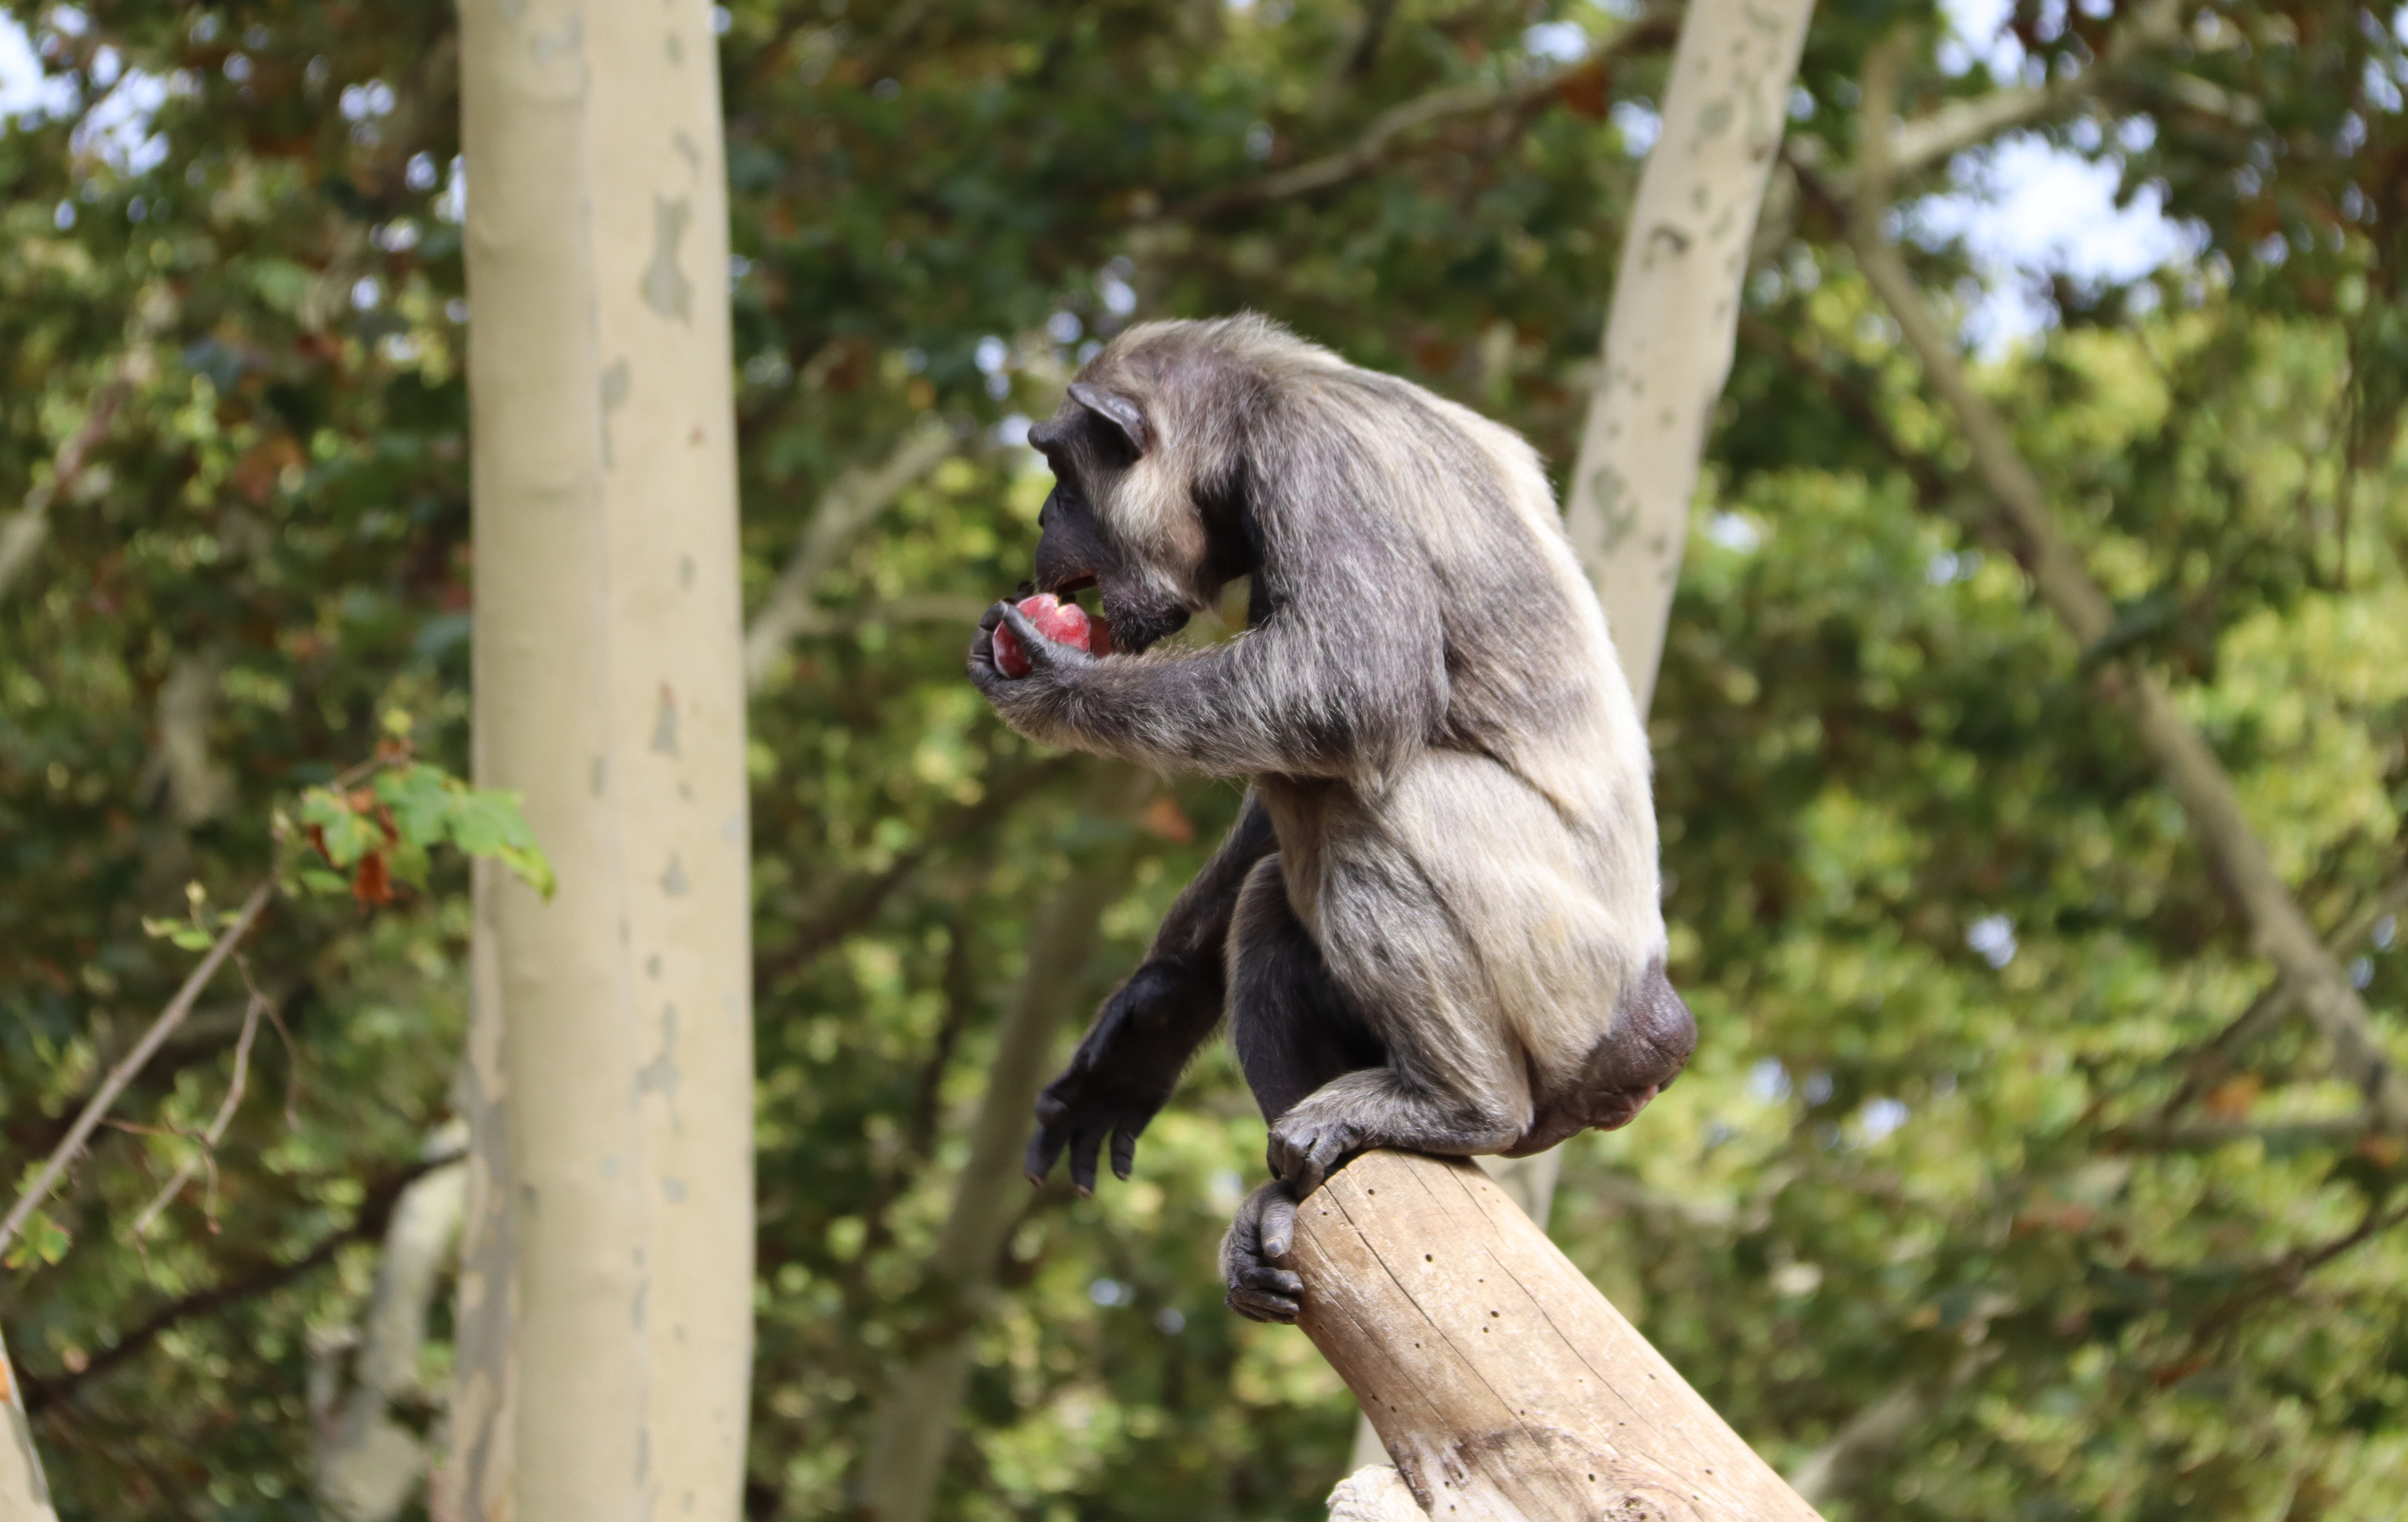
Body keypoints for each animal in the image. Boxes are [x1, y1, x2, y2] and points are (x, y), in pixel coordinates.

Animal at [963, 318, 1695, 1320]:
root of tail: (1654, 1030)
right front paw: (1146, 1028)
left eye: (1063, 471)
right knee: (1272, 895)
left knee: (1357, 807)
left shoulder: (1313, 464)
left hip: (1565, 983)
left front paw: (1053, 684)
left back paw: (1458, 1102)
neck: (1243, 429)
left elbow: (1348, 683)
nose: (1043, 515)